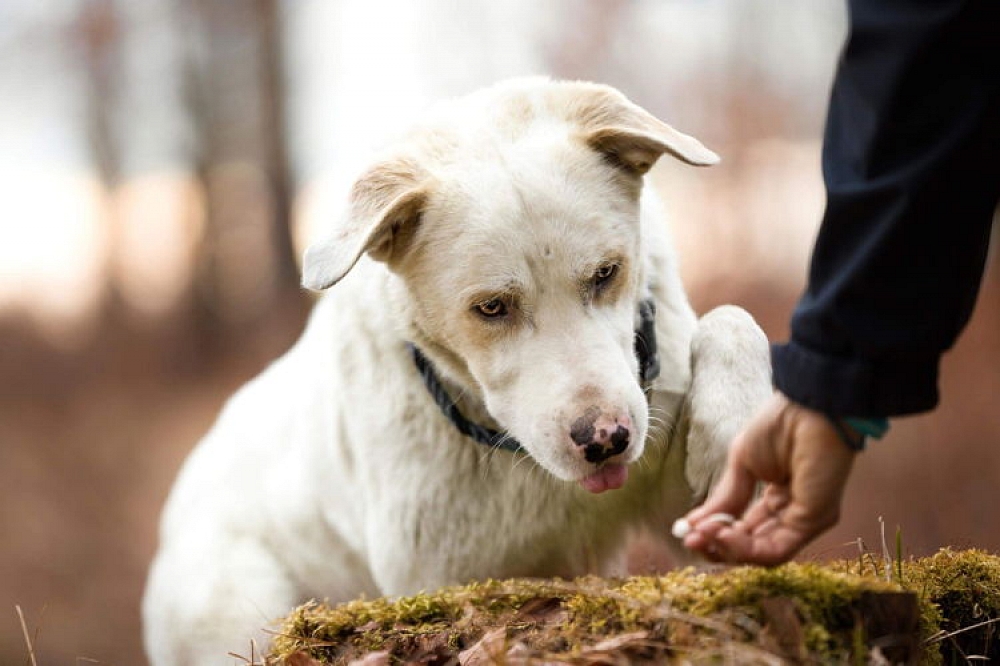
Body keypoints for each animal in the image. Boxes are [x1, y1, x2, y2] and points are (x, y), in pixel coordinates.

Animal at [141, 76, 768, 660]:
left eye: (606, 273)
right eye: (491, 308)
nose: (606, 439)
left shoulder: (681, 506)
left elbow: (735, 320)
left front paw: (731, 435)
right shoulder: (438, 580)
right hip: (242, 601)